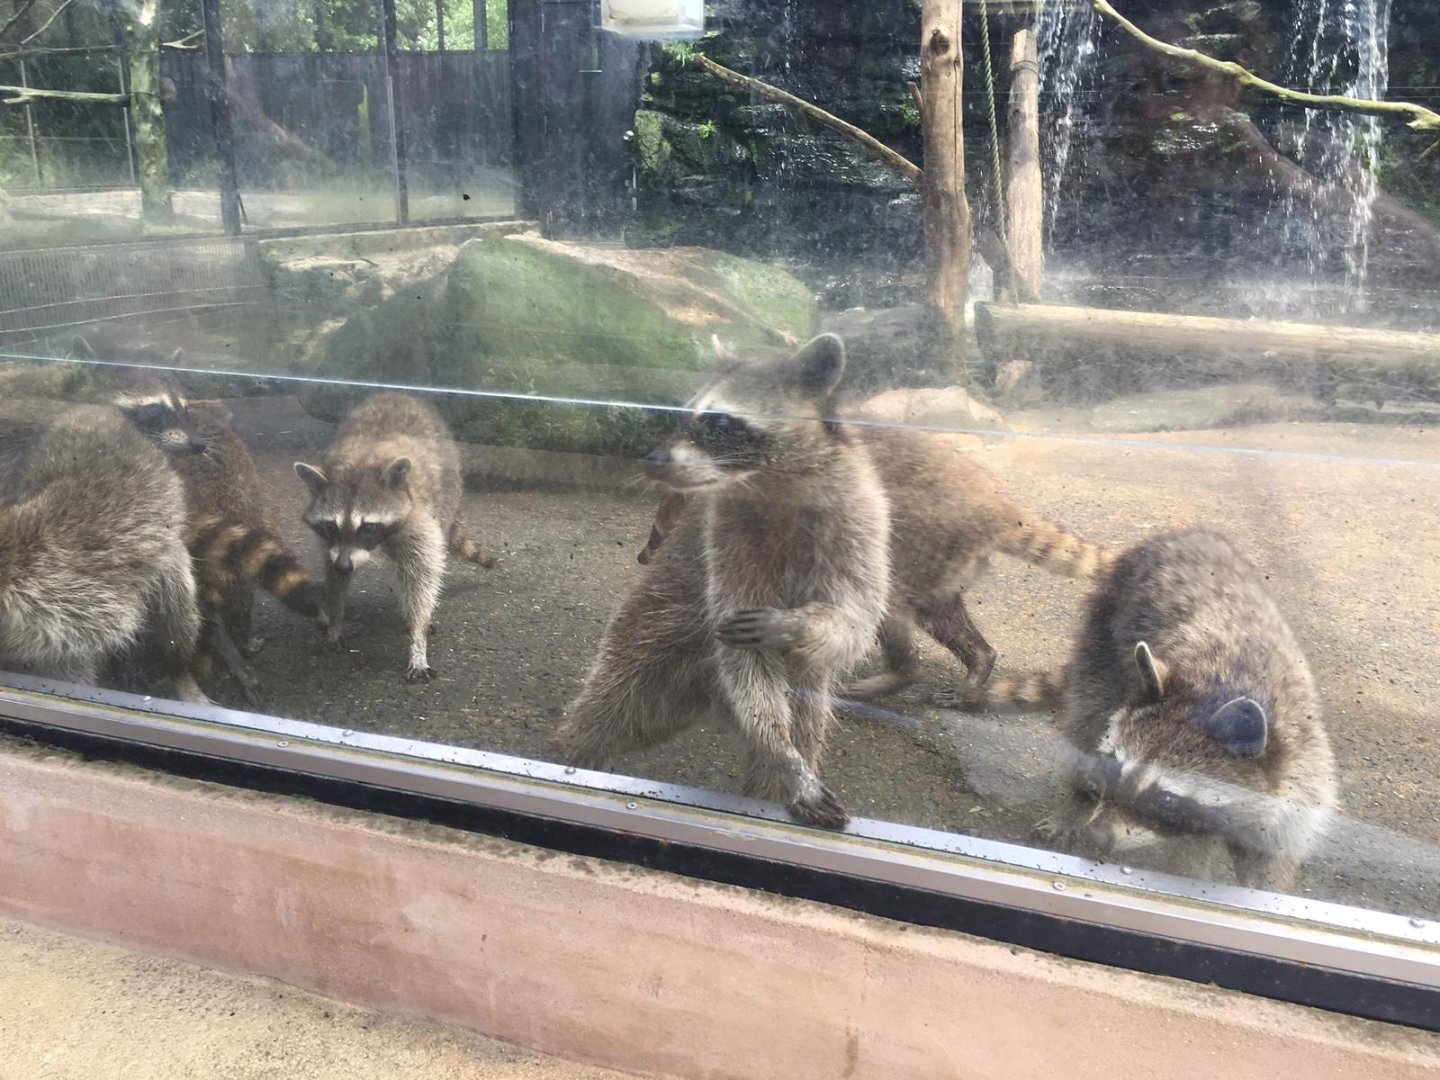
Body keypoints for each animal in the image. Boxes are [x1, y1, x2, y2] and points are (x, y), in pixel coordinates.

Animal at [294, 393, 495, 682]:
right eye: (332, 526)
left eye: (367, 527)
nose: (344, 565)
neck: (359, 462)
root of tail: (399, 394)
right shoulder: (329, 544)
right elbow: (332, 575)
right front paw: (335, 620)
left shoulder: (418, 517)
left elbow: (421, 575)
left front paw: (418, 639)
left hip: (448, 487)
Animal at [557, 334, 890, 828]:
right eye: (683, 414)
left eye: (718, 421)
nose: (652, 460)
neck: (773, 485)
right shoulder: (727, 535)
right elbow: (745, 658)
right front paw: (781, 751)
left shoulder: (862, 521)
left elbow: (855, 623)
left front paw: (799, 624)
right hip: (650, 631)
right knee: (606, 707)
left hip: (800, 691)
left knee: (803, 724)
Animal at [962, 527, 1337, 890]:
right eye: (1114, 768)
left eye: (1167, 799)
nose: (1097, 836)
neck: (1222, 689)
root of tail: (1184, 533)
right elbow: (1192, 859)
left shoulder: (1301, 776)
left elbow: (1271, 858)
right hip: (1102, 642)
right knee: (1088, 720)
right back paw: (1075, 803)